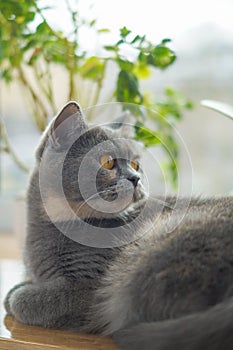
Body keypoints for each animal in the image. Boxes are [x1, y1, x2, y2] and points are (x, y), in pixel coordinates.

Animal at [4, 101, 233, 350]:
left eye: (135, 164)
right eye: (108, 161)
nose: (136, 178)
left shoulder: (88, 289)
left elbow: (20, 299)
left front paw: (18, 296)